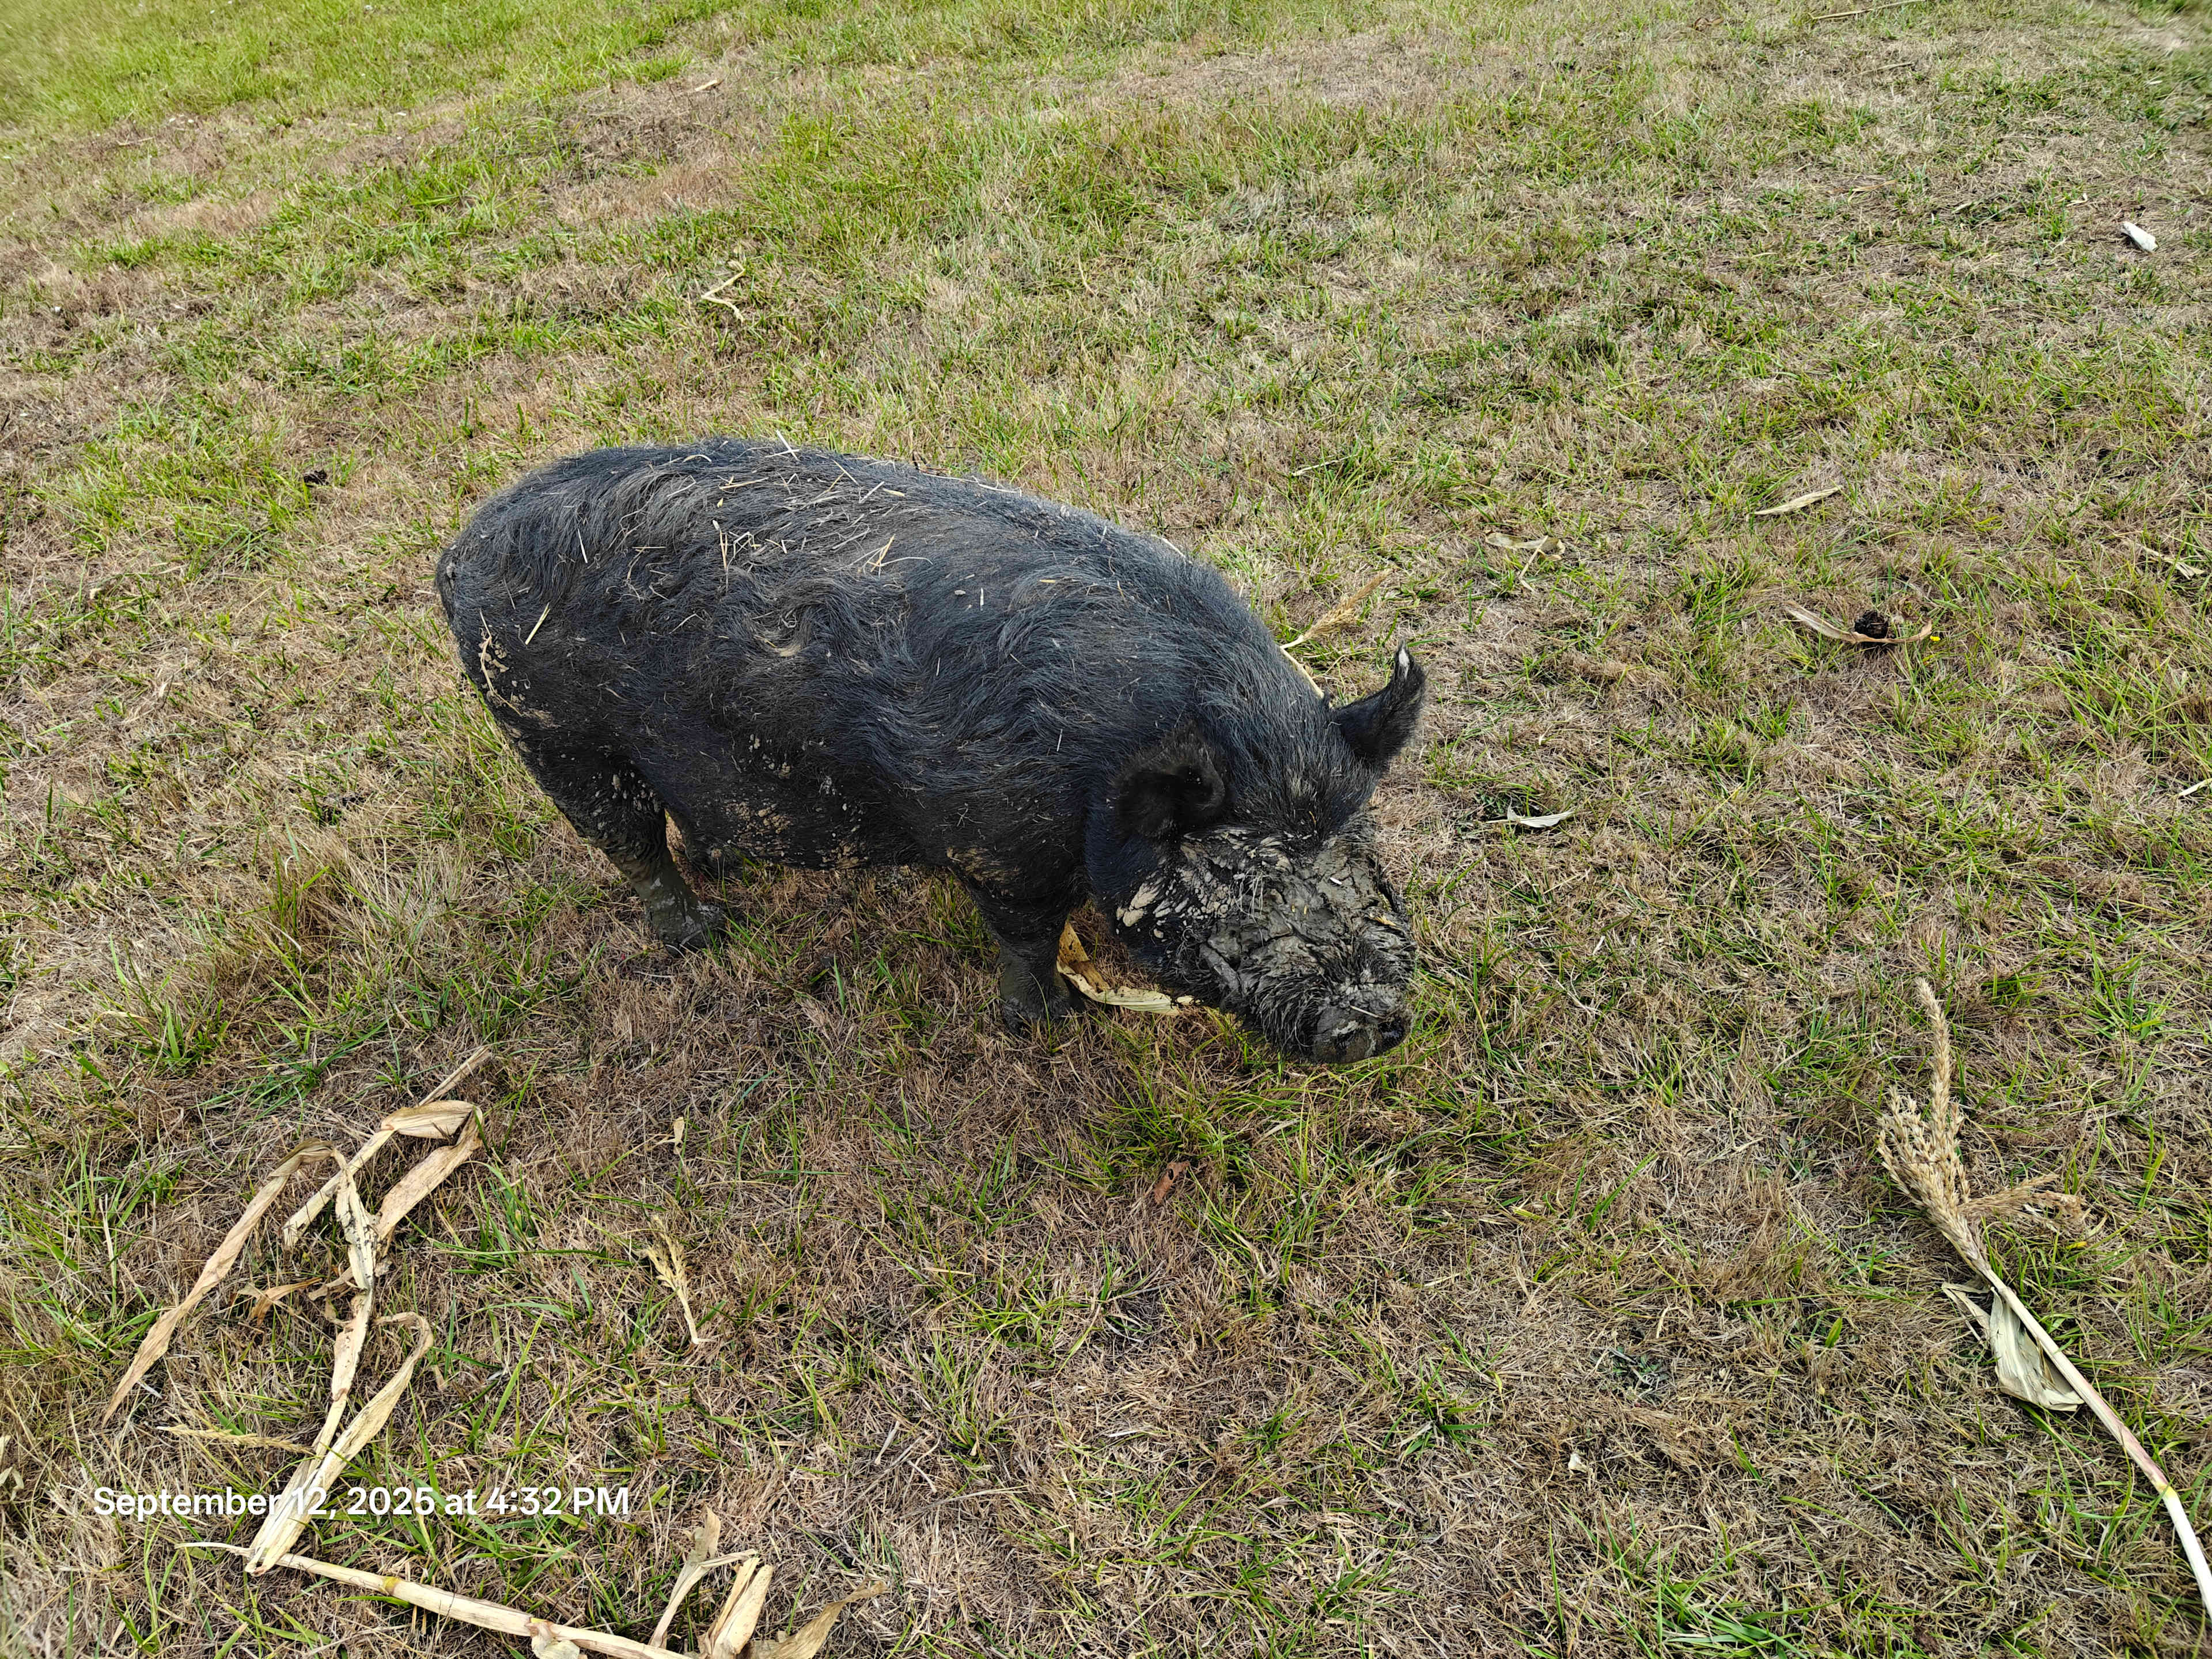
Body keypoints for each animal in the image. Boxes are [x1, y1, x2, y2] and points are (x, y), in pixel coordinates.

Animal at [435, 440, 1425, 1061]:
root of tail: (455, 555)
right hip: (553, 734)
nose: (1373, 1019)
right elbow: (1026, 940)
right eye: (1234, 878)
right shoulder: (1003, 847)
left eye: (1357, 852)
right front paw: (1054, 1025)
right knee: (631, 847)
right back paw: (708, 933)